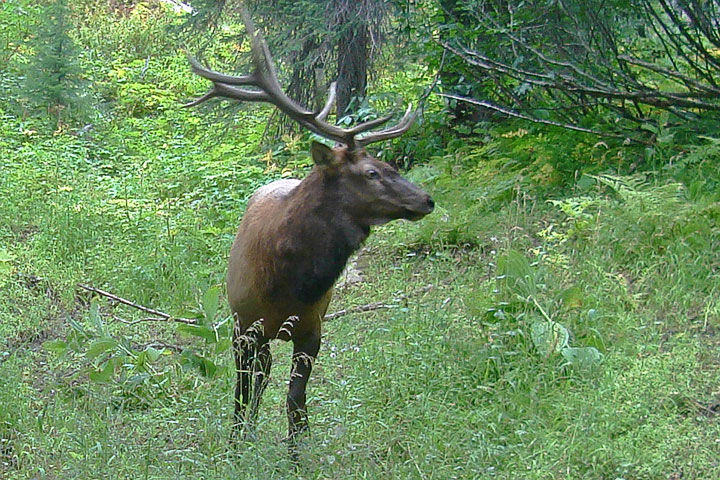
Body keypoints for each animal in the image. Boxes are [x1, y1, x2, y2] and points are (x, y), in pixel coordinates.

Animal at [186, 11, 434, 454]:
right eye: (371, 173)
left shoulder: (312, 328)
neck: (288, 282)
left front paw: (297, 453)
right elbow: (240, 392)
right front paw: (235, 445)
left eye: (388, 164)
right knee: (258, 377)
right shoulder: (241, 326)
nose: (426, 199)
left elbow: (295, 400)